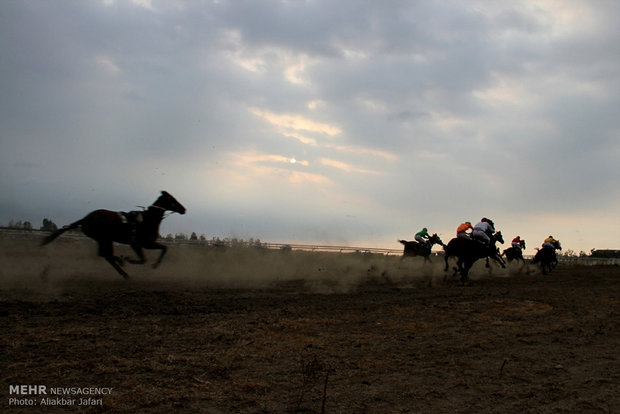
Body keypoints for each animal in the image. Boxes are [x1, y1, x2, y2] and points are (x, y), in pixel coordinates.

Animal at [40, 191, 184, 278]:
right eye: (172, 199)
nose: (184, 209)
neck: (148, 220)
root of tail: (85, 219)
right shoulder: (138, 244)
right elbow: (144, 259)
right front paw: (130, 259)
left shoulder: (147, 244)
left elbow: (164, 248)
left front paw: (154, 265)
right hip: (105, 238)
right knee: (107, 255)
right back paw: (123, 267)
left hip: (102, 239)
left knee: (104, 255)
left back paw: (121, 266)